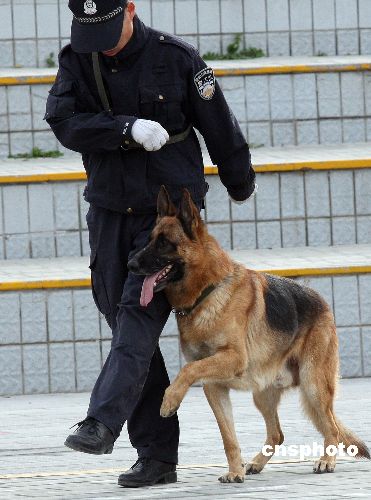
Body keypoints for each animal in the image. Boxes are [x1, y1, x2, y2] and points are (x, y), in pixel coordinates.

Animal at [127, 186, 370, 482]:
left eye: (164, 243)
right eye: (150, 240)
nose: (130, 264)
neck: (208, 292)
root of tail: (322, 302)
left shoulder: (231, 358)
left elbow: (186, 370)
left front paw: (170, 399)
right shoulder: (214, 386)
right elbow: (228, 437)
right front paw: (235, 471)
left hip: (313, 386)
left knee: (331, 427)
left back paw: (327, 461)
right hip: (263, 394)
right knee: (277, 434)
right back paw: (255, 463)